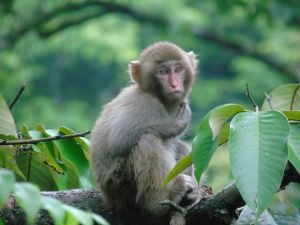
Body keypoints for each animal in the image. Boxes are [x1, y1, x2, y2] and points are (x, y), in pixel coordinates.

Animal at [90, 41, 200, 224]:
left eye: (178, 69)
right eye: (163, 72)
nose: (174, 85)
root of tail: (108, 197)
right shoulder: (146, 104)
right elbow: (117, 139)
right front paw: (177, 123)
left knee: (180, 146)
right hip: (121, 187)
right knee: (148, 140)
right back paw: (158, 201)